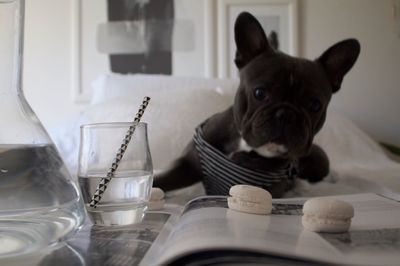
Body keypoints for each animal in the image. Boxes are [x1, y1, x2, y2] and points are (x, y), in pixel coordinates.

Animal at [153, 11, 360, 197]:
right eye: (259, 93)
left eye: (315, 105)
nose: (286, 114)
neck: (243, 145)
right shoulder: (186, 166)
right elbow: (159, 181)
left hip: (319, 161)